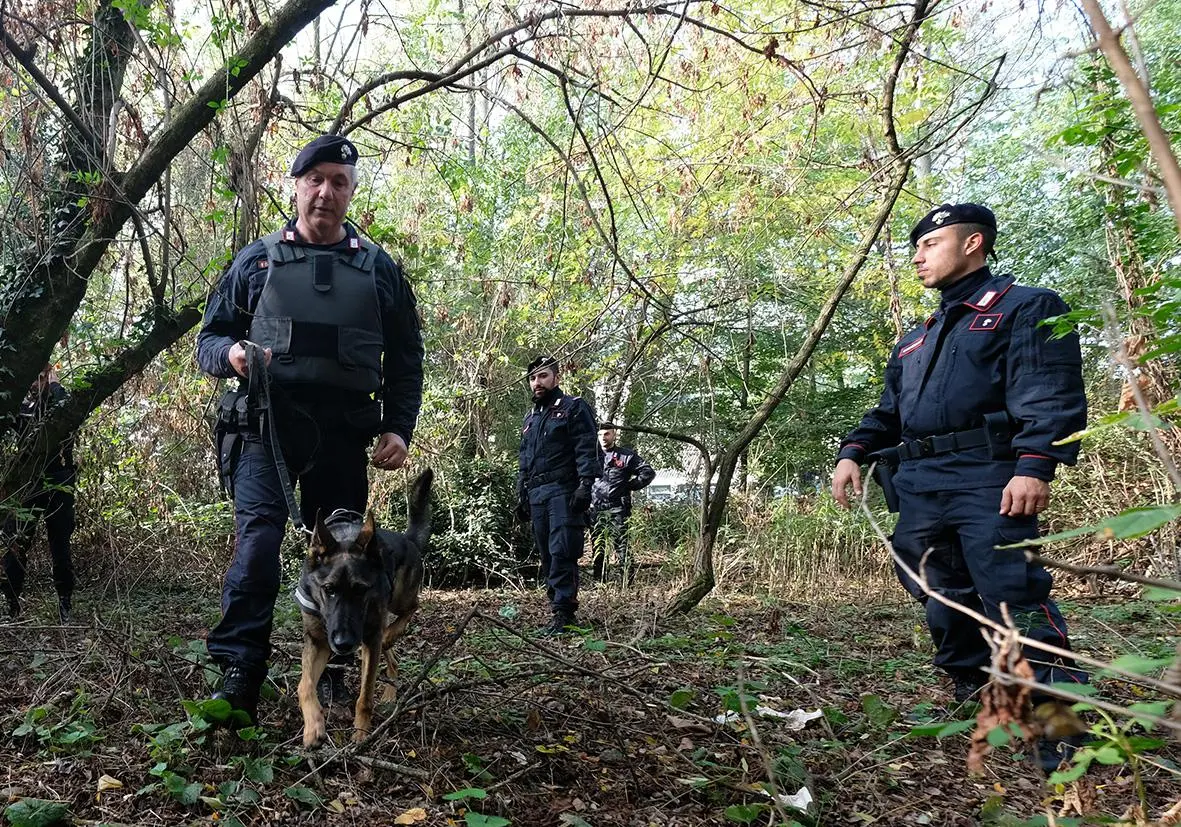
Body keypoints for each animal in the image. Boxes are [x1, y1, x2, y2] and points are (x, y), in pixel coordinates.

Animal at [297, 467, 432, 746]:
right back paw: (390, 692)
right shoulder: (318, 641)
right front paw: (313, 726)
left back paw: (393, 635)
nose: (344, 644)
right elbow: (304, 685)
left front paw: (361, 734)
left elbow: (365, 696)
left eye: (361, 590)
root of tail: (408, 539)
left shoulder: (368, 639)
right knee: (392, 657)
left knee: (411, 608)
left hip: (398, 600)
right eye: (329, 589)